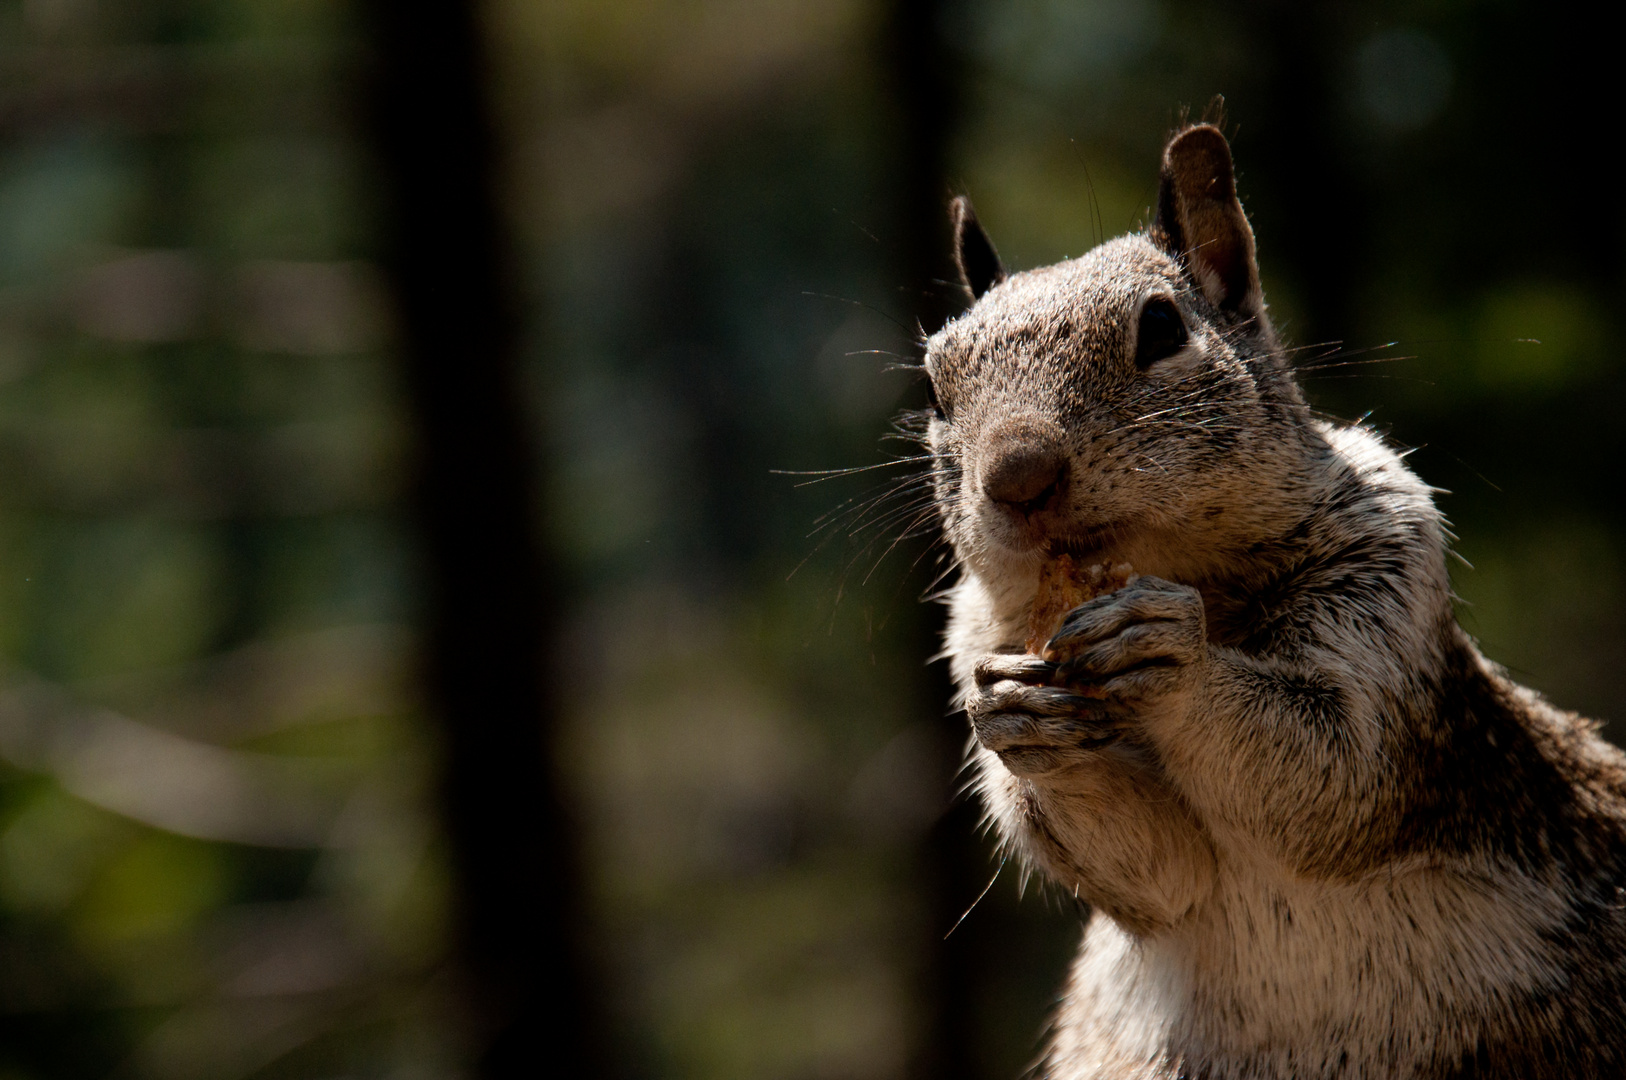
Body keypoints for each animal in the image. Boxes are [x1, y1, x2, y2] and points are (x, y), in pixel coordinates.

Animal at [923, 121, 1626, 1073]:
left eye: (1161, 327)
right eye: (933, 385)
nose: (1018, 476)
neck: (1203, 587)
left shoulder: (1389, 583)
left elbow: (1333, 766)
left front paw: (1171, 657)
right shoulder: (977, 638)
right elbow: (1154, 867)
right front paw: (1016, 716)